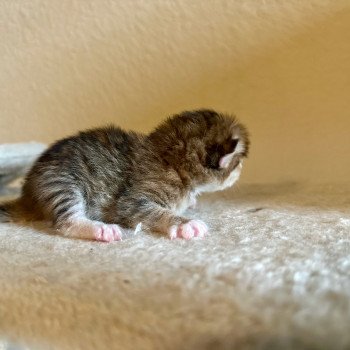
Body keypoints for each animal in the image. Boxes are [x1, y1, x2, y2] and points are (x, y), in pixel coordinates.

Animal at [1, 108, 250, 241]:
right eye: (238, 164)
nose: (240, 173)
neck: (171, 161)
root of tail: (27, 193)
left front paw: (192, 203)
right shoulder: (133, 200)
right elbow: (152, 212)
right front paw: (185, 223)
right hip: (60, 182)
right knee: (67, 221)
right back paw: (101, 229)